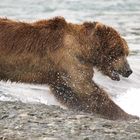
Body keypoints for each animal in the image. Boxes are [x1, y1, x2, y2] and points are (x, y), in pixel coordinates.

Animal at [0, 16, 138, 120]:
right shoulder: (69, 59)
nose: (128, 71)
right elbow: (86, 89)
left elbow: (69, 93)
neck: (84, 49)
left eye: (126, 52)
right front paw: (128, 114)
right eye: (119, 52)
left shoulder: (61, 73)